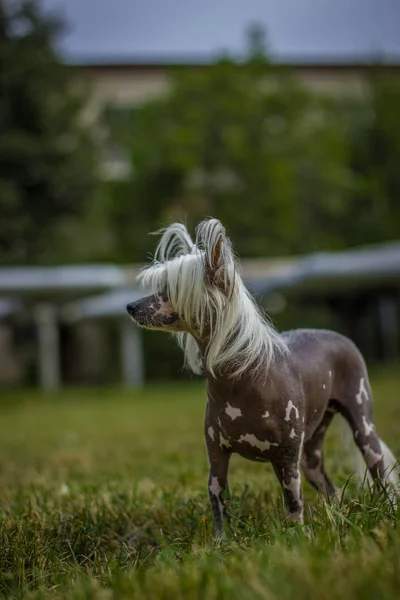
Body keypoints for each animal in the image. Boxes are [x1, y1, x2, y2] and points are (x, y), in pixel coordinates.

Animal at [126, 218, 398, 536]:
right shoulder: (216, 458)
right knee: (328, 488)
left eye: (169, 290)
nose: (130, 306)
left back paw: (388, 511)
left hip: (362, 427)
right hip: (311, 451)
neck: (239, 381)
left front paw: (297, 538)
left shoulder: (286, 459)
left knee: (379, 471)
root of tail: (339, 335)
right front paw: (222, 542)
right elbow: (218, 502)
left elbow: (293, 504)